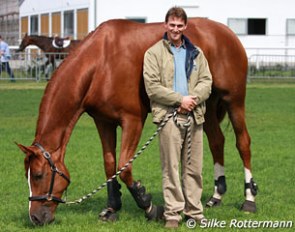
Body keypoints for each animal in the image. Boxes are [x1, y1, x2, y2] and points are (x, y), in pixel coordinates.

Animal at [18, 19, 258, 226]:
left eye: (38, 175)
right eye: (27, 176)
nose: (35, 218)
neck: (101, 63)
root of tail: (227, 33)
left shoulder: (132, 120)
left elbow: (124, 167)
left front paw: (149, 206)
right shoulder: (103, 122)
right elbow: (109, 164)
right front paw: (112, 207)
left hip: (234, 101)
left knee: (243, 143)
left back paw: (249, 199)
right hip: (204, 106)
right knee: (217, 142)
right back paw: (216, 196)